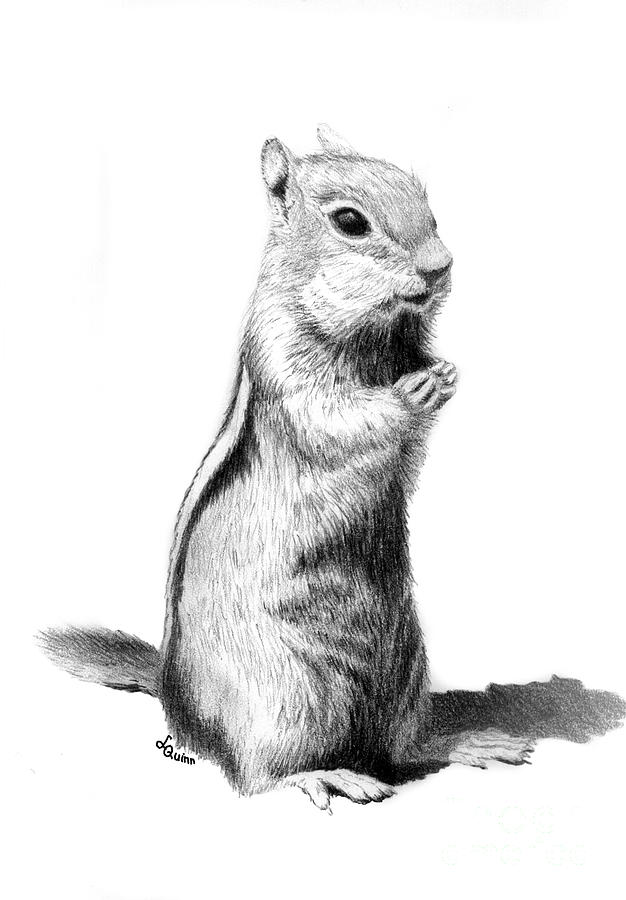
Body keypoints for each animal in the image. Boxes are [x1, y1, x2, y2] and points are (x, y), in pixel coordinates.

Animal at [40, 125, 535, 811]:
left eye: (433, 212)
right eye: (350, 222)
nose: (441, 266)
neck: (372, 336)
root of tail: (177, 698)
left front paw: (445, 373)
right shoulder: (285, 364)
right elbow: (338, 419)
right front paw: (410, 395)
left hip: (406, 667)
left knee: (404, 748)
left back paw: (462, 743)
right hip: (281, 695)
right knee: (257, 777)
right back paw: (325, 775)